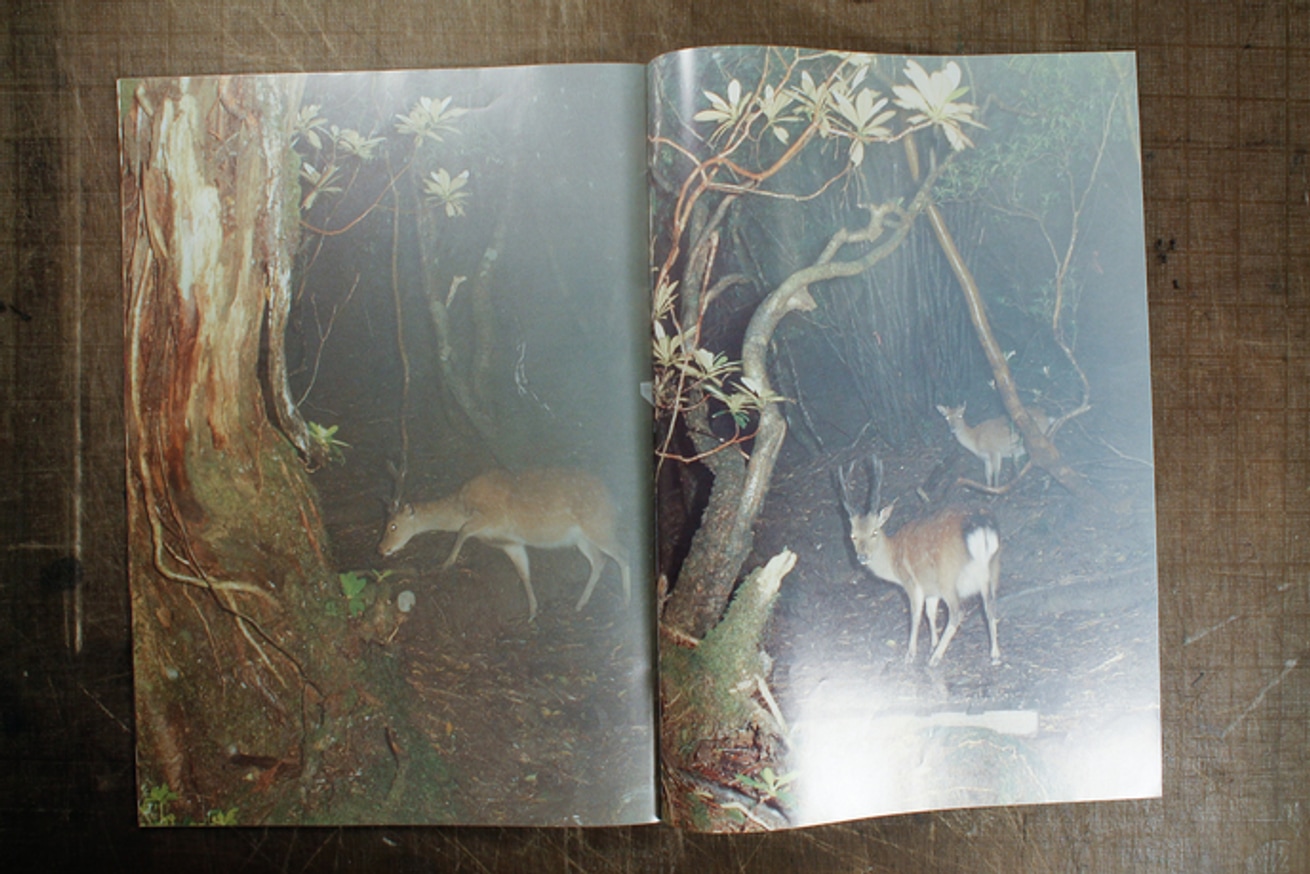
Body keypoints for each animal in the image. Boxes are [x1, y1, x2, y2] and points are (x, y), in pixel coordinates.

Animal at [378, 467, 631, 622]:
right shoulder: (510, 542)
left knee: (623, 553)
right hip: (582, 539)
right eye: (386, 523)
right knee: (599, 560)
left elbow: (463, 532)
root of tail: (615, 502)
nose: (382, 548)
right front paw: (532, 612)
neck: (461, 507)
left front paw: (446, 564)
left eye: (393, 526)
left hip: (599, 527)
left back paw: (625, 603)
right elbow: (523, 572)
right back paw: (580, 604)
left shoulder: (492, 516)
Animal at [836, 457, 1001, 667]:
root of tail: (981, 527)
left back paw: (935, 659)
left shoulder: (912, 583)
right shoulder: (931, 588)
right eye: (853, 535)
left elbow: (915, 615)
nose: (862, 557)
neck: (893, 559)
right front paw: (932, 644)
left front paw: (911, 654)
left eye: (874, 532)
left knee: (957, 613)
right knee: (991, 606)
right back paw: (994, 654)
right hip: (993, 568)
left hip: (949, 577)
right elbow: (930, 613)